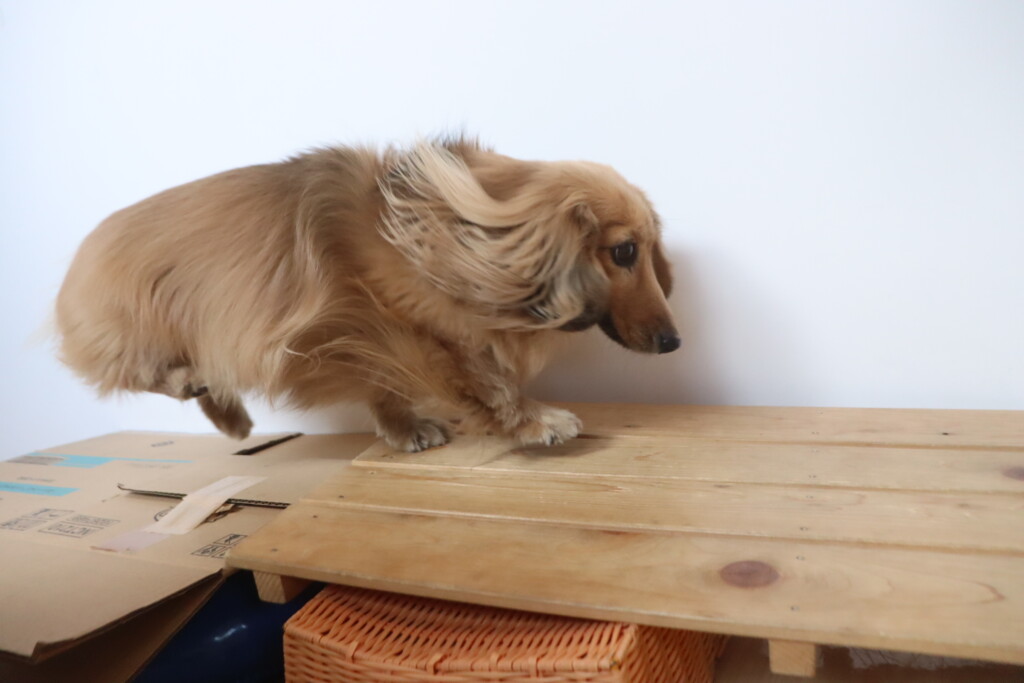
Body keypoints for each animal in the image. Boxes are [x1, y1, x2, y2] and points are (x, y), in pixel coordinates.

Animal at [55, 138, 679, 451]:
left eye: (650, 248)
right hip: (141, 332)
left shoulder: (365, 332)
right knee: (144, 372)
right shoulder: (407, 326)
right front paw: (534, 420)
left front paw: (405, 429)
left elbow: (386, 383)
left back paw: (231, 418)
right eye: (624, 251)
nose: (674, 342)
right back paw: (196, 385)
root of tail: (77, 259)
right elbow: (484, 379)